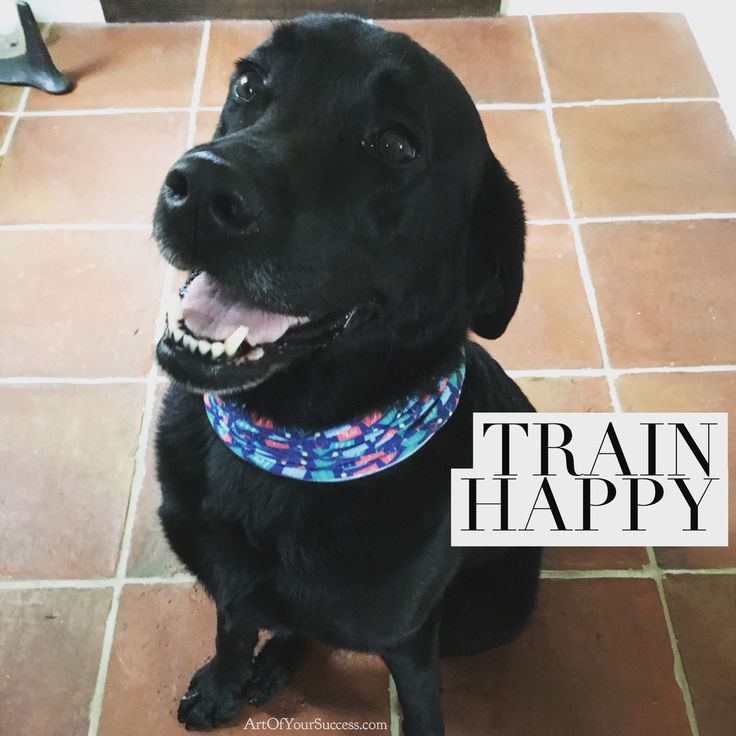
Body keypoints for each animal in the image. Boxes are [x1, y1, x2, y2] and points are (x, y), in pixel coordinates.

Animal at [152, 14, 540, 732]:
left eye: (395, 145)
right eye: (249, 84)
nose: (201, 189)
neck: (288, 448)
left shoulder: (412, 642)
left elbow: (420, 706)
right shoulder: (228, 584)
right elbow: (232, 627)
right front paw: (224, 681)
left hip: (489, 615)